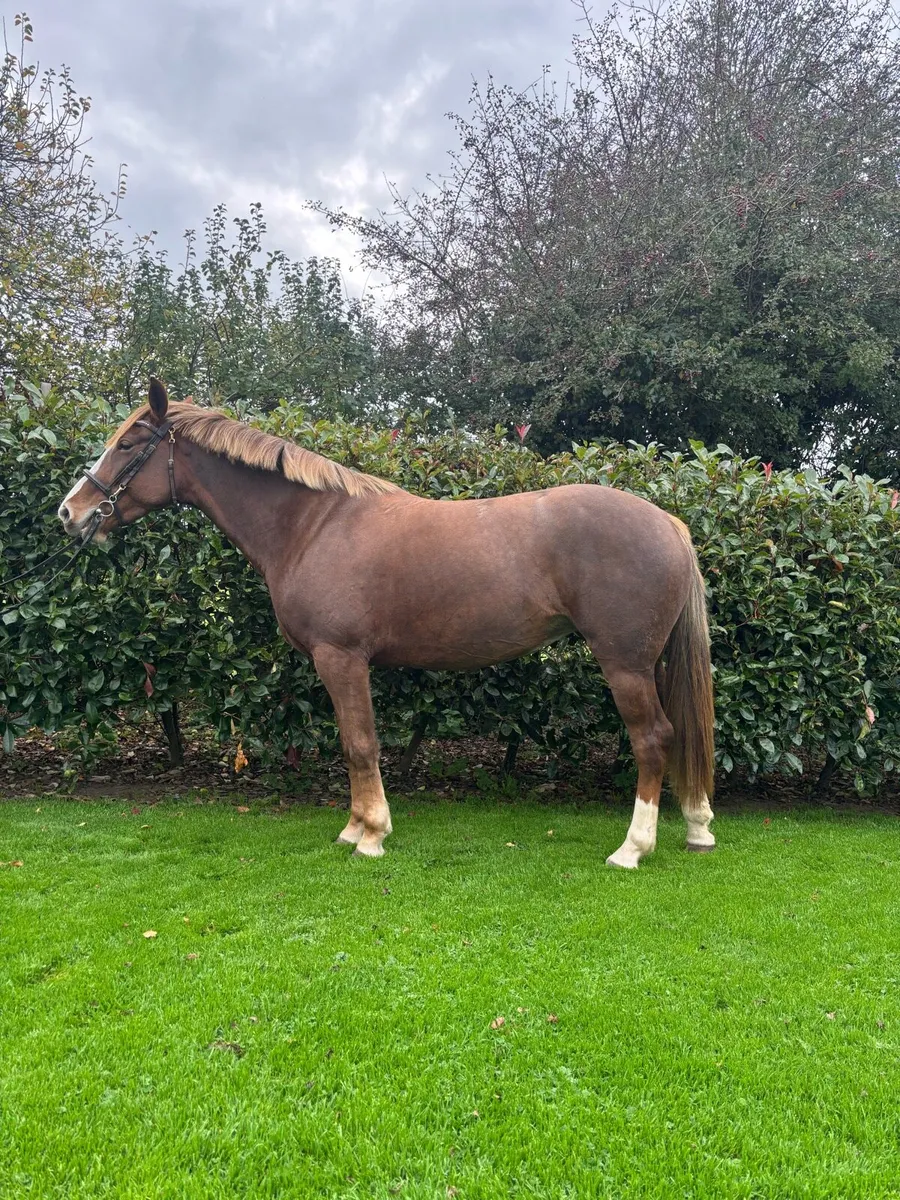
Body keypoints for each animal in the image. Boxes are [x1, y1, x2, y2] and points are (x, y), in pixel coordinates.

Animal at [58, 379, 716, 867]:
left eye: (129, 443)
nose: (71, 512)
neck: (312, 525)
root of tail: (668, 522)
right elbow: (355, 745)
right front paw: (354, 828)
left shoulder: (342, 658)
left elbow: (359, 742)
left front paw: (370, 834)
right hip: (651, 662)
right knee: (679, 734)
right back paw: (697, 826)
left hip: (624, 663)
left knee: (653, 739)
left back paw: (633, 848)